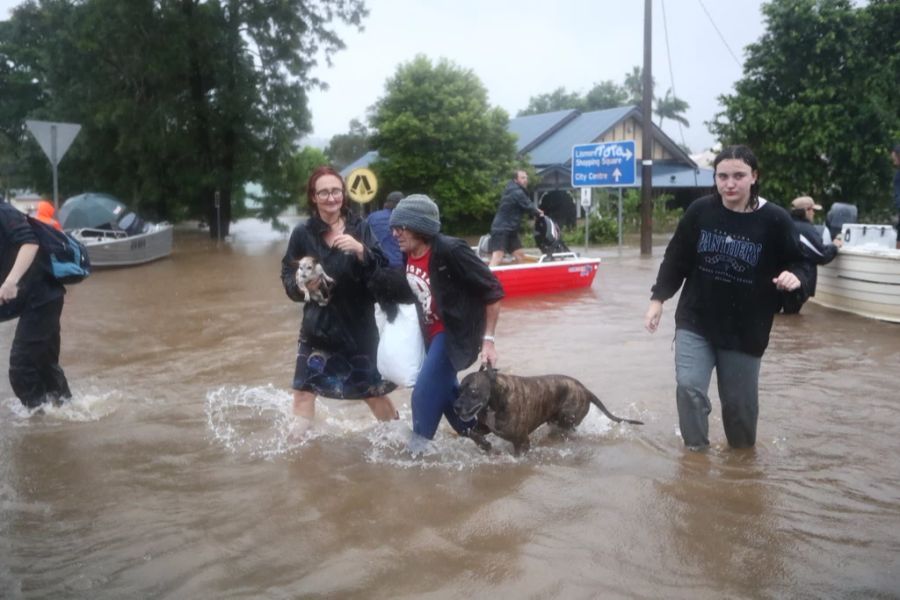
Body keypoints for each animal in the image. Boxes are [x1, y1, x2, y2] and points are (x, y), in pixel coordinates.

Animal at [458, 366, 640, 454]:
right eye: (459, 389)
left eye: (473, 391)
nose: (456, 406)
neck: (496, 398)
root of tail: (585, 390)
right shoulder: (484, 426)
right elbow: (472, 433)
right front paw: (484, 445)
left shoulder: (521, 442)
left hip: (567, 420)